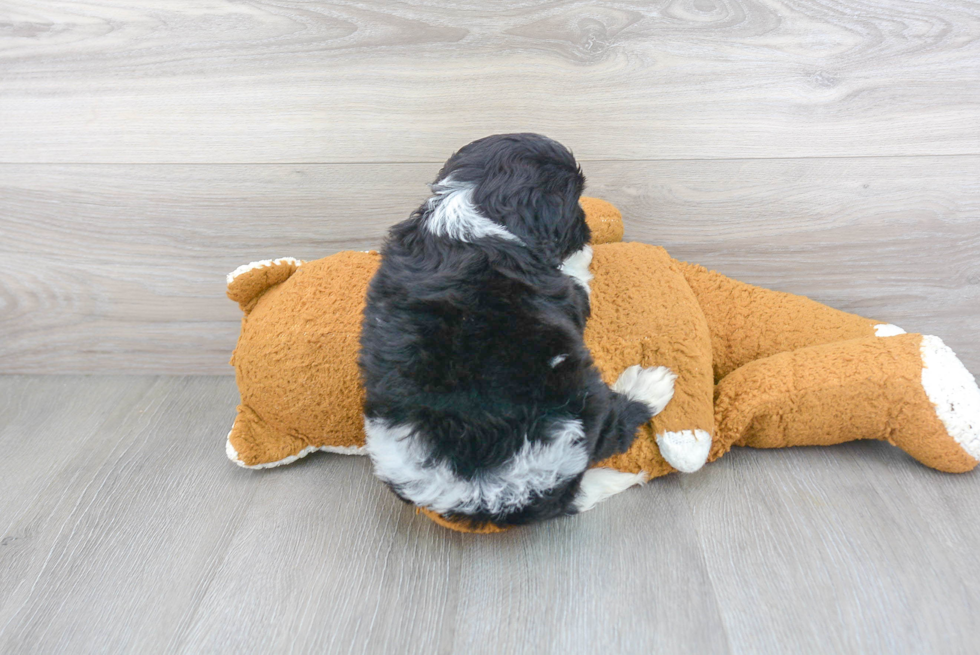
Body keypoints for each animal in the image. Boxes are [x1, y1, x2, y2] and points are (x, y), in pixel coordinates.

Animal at [360, 133, 672, 528]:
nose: (586, 229)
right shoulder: (566, 292)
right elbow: (577, 280)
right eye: (574, 197)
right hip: (581, 400)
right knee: (611, 432)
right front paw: (582, 254)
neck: (468, 210)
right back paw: (650, 386)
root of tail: (486, 495)